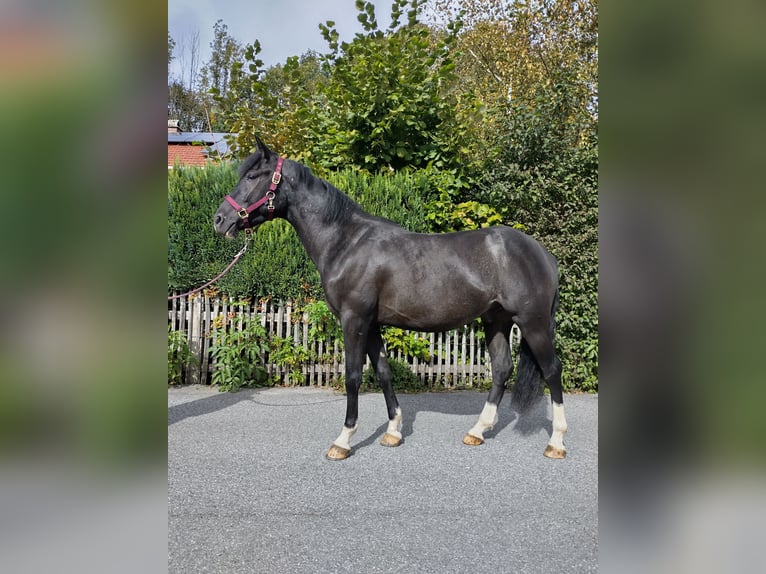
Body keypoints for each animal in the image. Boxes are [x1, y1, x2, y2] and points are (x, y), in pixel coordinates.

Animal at [213, 141, 568, 464]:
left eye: (252, 176)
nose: (219, 219)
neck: (346, 242)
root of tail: (544, 254)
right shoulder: (371, 324)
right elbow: (383, 372)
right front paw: (393, 432)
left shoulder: (354, 320)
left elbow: (353, 377)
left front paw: (343, 440)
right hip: (496, 321)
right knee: (502, 368)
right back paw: (477, 431)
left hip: (533, 323)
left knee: (552, 370)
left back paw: (556, 443)